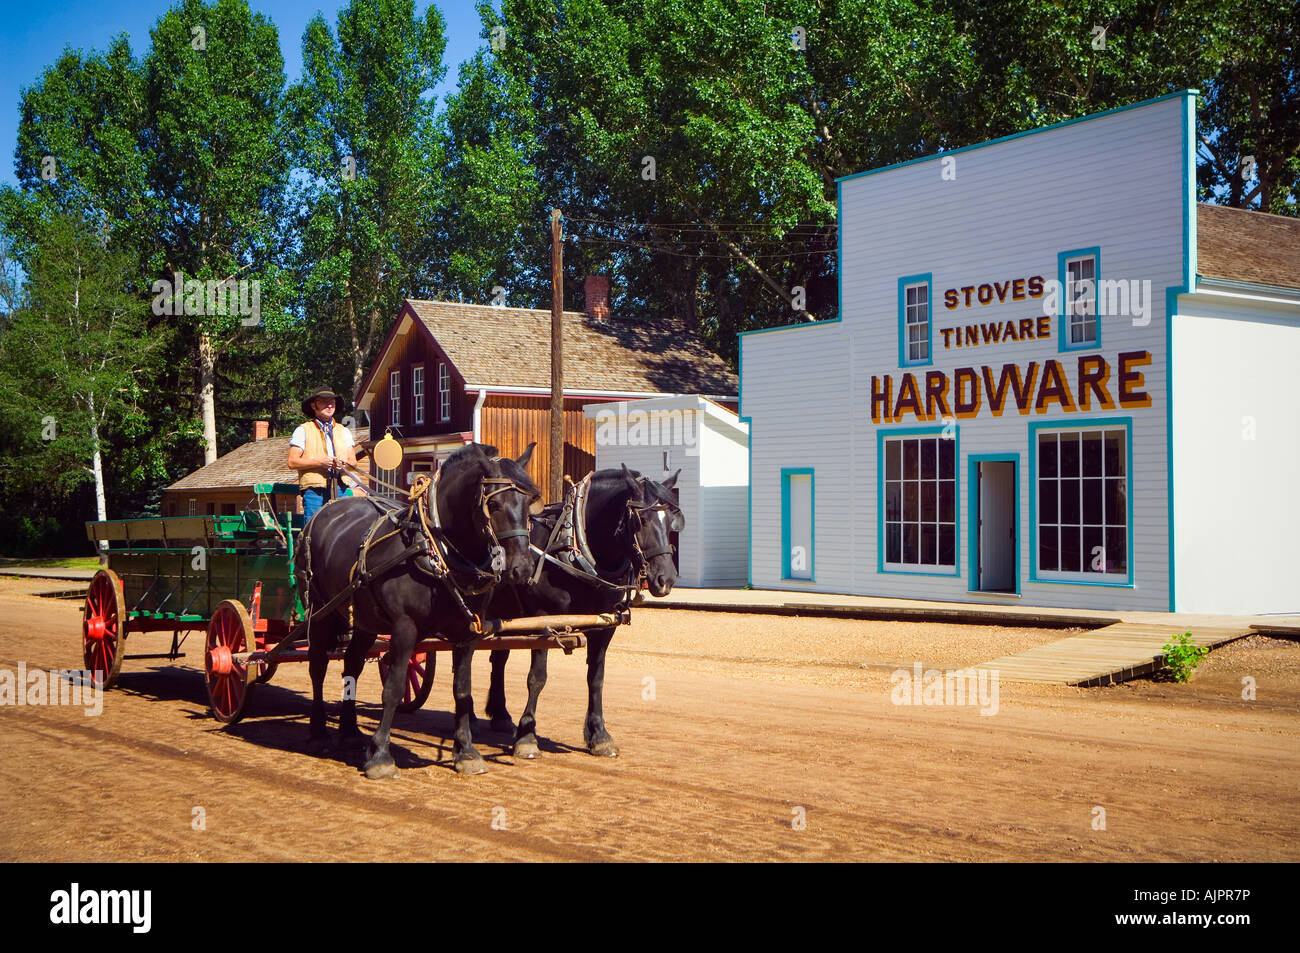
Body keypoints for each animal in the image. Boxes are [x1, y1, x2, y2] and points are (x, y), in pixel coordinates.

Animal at [295, 442, 538, 774]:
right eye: (496, 504)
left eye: (529, 504)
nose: (522, 569)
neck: (436, 549)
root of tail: (324, 513)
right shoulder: (404, 628)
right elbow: (395, 688)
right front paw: (381, 755)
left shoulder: (467, 635)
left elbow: (462, 690)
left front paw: (466, 751)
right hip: (321, 610)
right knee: (317, 666)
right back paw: (319, 732)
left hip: (364, 621)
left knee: (352, 665)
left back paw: (349, 732)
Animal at [486, 462, 686, 759]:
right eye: (640, 520)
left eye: (671, 519)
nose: (666, 579)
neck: (572, 548)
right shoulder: (543, 619)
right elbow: (537, 678)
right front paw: (527, 737)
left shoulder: (604, 626)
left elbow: (596, 678)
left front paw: (599, 735)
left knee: (498, 658)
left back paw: (499, 715)